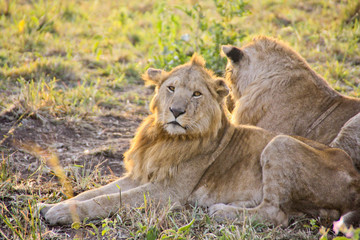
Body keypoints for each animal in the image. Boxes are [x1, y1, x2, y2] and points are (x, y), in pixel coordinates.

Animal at [38, 54, 360, 227]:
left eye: (196, 94)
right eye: (170, 88)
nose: (176, 111)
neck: (163, 138)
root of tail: (355, 176)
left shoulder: (168, 193)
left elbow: (106, 200)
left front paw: (60, 213)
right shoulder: (140, 176)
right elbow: (95, 193)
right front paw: (51, 206)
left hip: (279, 143)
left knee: (275, 214)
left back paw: (222, 211)